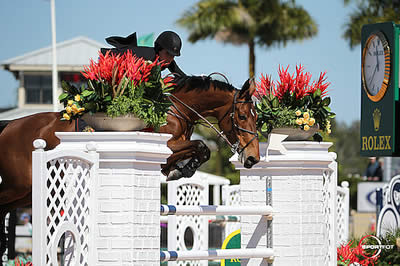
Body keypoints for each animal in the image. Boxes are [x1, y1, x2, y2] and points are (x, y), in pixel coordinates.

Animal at [0, 75, 260, 260]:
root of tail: (9, 126)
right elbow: (200, 146)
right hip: (19, 186)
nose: (252, 159)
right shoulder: (165, 147)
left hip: (29, 192)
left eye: (256, 117)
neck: (178, 111)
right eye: (242, 116)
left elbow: (200, 149)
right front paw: (183, 168)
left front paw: (184, 168)